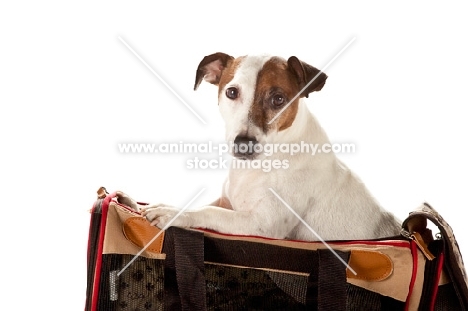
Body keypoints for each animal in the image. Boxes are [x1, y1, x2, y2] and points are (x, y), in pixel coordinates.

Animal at [116, 53, 398, 241]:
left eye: (278, 99)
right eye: (231, 92)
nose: (243, 144)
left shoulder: (261, 224)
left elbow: (209, 211)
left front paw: (172, 213)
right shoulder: (228, 201)